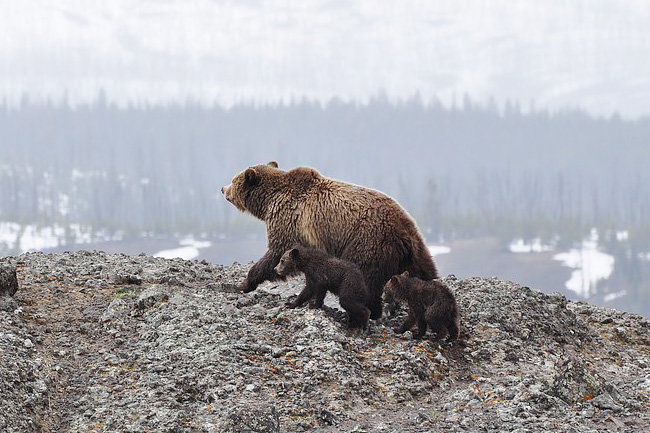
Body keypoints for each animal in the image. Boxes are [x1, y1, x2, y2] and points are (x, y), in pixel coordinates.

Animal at [221, 161, 438, 319]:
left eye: (234, 179)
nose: (222, 188)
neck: (268, 202)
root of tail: (403, 231)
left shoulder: (288, 220)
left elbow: (276, 253)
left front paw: (245, 283)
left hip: (368, 241)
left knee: (365, 278)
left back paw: (366, 311)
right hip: (415, 249)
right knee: (425, 272)